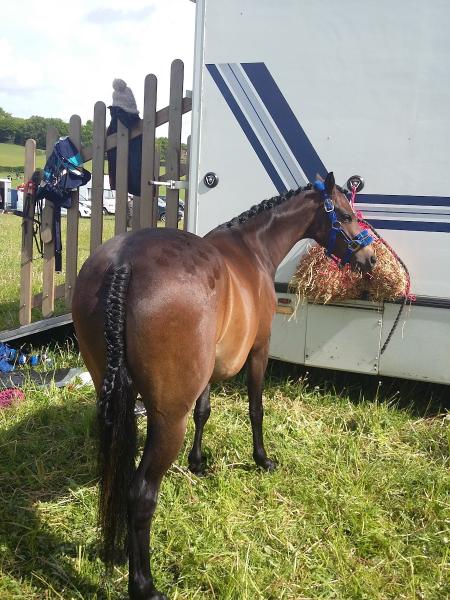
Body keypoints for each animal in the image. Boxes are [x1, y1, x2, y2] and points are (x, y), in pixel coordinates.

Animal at [73, 171, 376, 596]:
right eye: (347, 215)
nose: (371, 258)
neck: (252, 248)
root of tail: (124, 263)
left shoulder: (208, 368)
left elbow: (205, 410)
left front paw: (198, 463)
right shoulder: (260, 350)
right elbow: (256, 408)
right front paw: (263, 458)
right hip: (168, 419)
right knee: (141, 493)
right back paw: (143, 584)